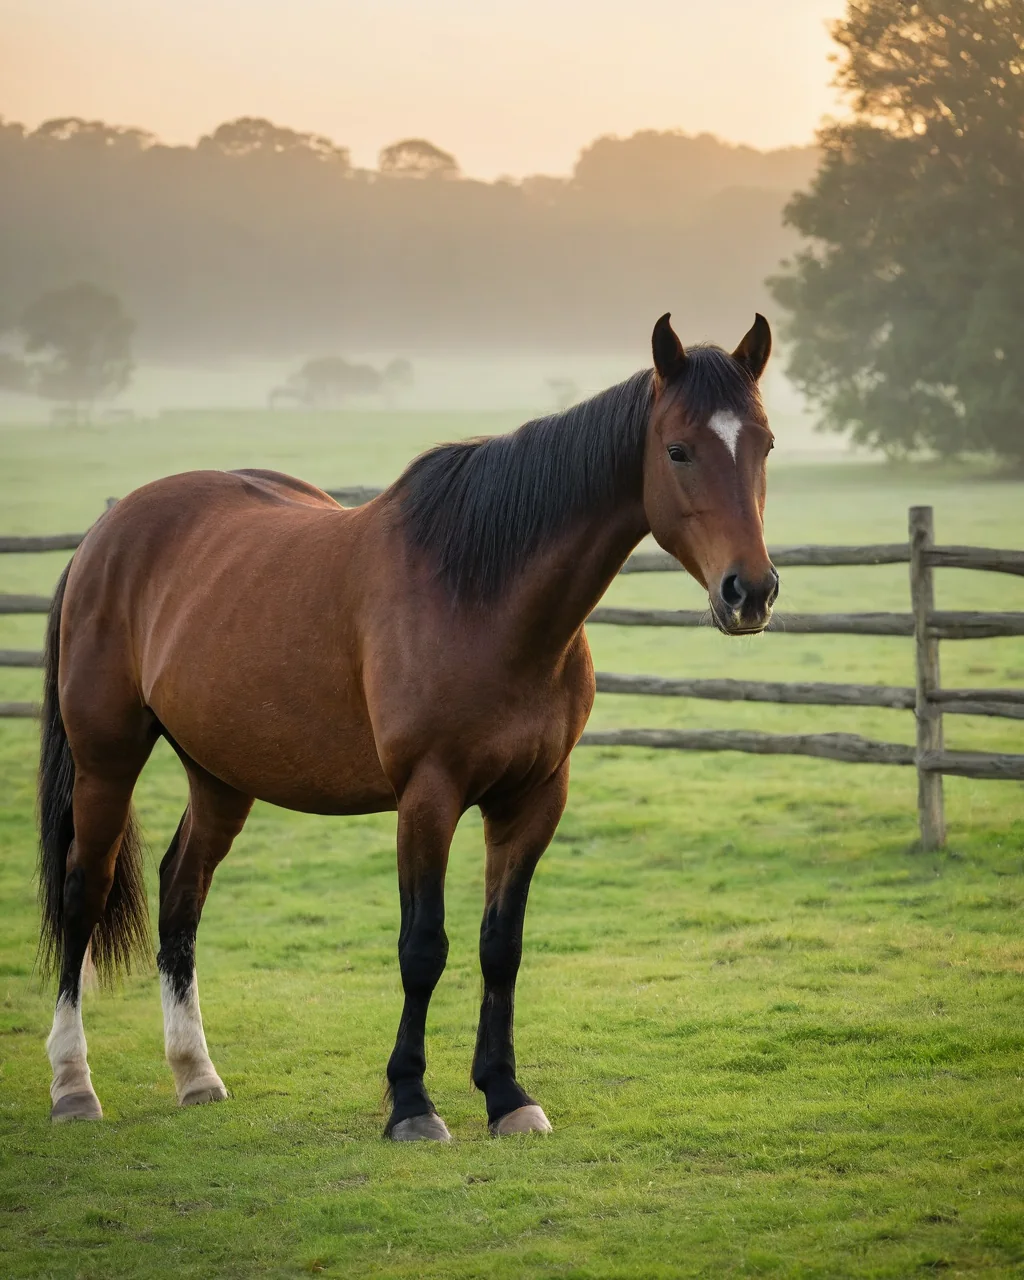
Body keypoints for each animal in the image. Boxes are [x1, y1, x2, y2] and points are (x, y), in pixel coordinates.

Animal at [38, 312, 778, 1138]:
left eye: (766, 444)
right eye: (678, 449)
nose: (750, 592)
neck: (482, 595)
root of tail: (108, 532)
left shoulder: (534, 799)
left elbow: (501, 947)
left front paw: (506, 1094)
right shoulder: (427, 797)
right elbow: (423, 947)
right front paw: (412, 1104)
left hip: (220, 773)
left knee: (181, 889)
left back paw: (195, 1073)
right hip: (106, 761)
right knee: (84, 891)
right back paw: (73, 1085)